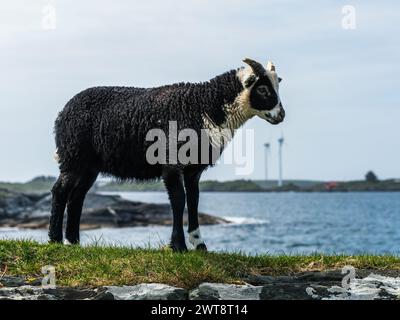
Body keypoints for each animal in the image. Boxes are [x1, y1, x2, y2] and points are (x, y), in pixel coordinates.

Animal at [49, 58, 284, 251]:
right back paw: (55, 240)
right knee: (60, 191)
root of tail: (63, 112)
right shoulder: (172, 162)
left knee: (77, 197)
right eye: (263, 89)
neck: (206, 107)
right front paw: (178, 246)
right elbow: (179, 200)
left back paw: (73, 242)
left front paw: (199, 244)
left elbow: (194, 201)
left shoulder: (194, 168)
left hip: (89, 165)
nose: (281, 115)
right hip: (73, 156)